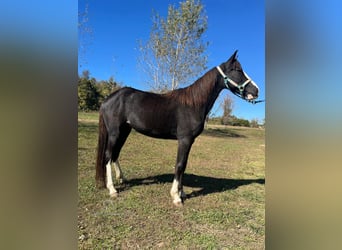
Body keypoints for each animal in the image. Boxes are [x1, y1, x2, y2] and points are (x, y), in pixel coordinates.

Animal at [94, 49, 260, 206]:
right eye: (237, 70)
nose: (256, 90)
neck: (193, 103)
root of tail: (108, 99)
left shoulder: (189, 141)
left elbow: (184, 165)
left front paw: (182, 193)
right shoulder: (184, 140)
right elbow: (179, 165)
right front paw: (176, 197)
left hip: (125, 131)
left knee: (115, 154)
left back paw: (122, 179)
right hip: (114, 133)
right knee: (108, 155)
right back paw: (112, 190)